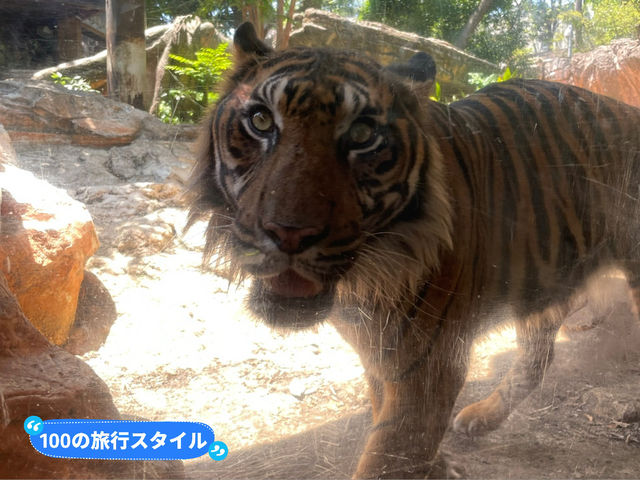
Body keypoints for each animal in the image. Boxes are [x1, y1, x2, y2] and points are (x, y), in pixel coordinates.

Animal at [188, 21, 640, 476]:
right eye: (261, 120)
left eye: (362, 135)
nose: (289, 233)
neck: (361, 284)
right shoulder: (379, 356)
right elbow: (388, 423)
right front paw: (436, 465)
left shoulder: (430, 364)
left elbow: (391, 451)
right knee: (538, 356)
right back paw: (482, 415)